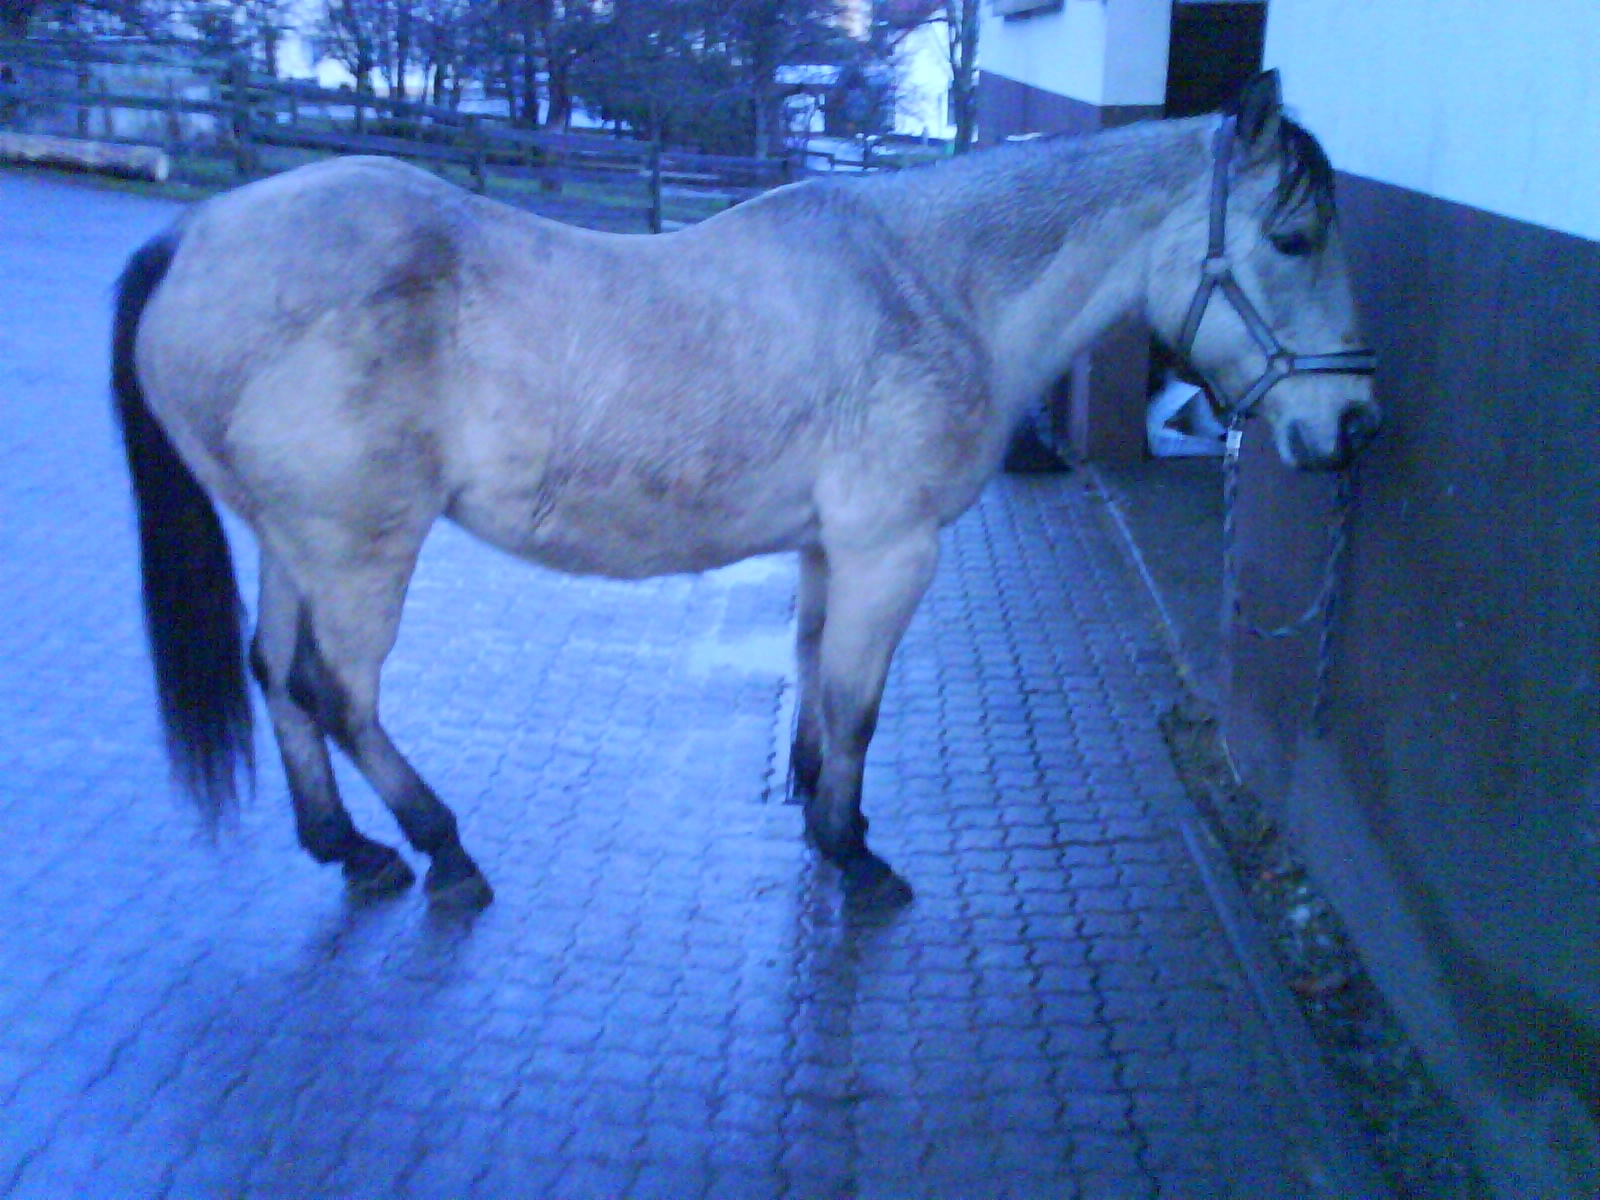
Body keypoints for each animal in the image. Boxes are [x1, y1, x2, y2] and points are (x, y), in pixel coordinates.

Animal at [111, 70, 1378, 910]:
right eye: (1293, 237)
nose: (1351, 426)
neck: (934, 285)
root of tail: (197, 233)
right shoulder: (890, 552)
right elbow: (860, 705)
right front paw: (856, 855)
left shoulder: (829, 551)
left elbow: (817, 679)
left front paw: (824, 815)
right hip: (359, 549)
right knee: (340, 694)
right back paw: (443, 851)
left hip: (291, 541)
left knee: (280, 676)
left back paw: (351, 848)